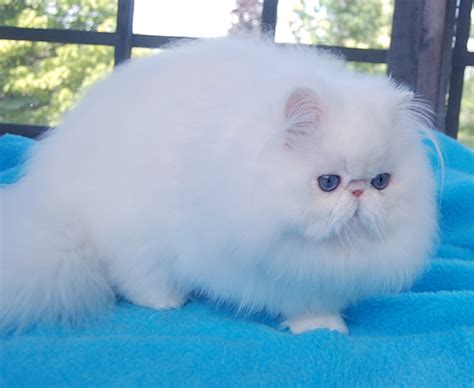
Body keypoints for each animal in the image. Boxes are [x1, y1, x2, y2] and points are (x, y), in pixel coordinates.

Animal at [0, 37, 436, 334]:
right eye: (329, 182)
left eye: (381, 181)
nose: (359, 192)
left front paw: (323, 327)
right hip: (139, 235)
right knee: (136, 276)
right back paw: (166, 302)